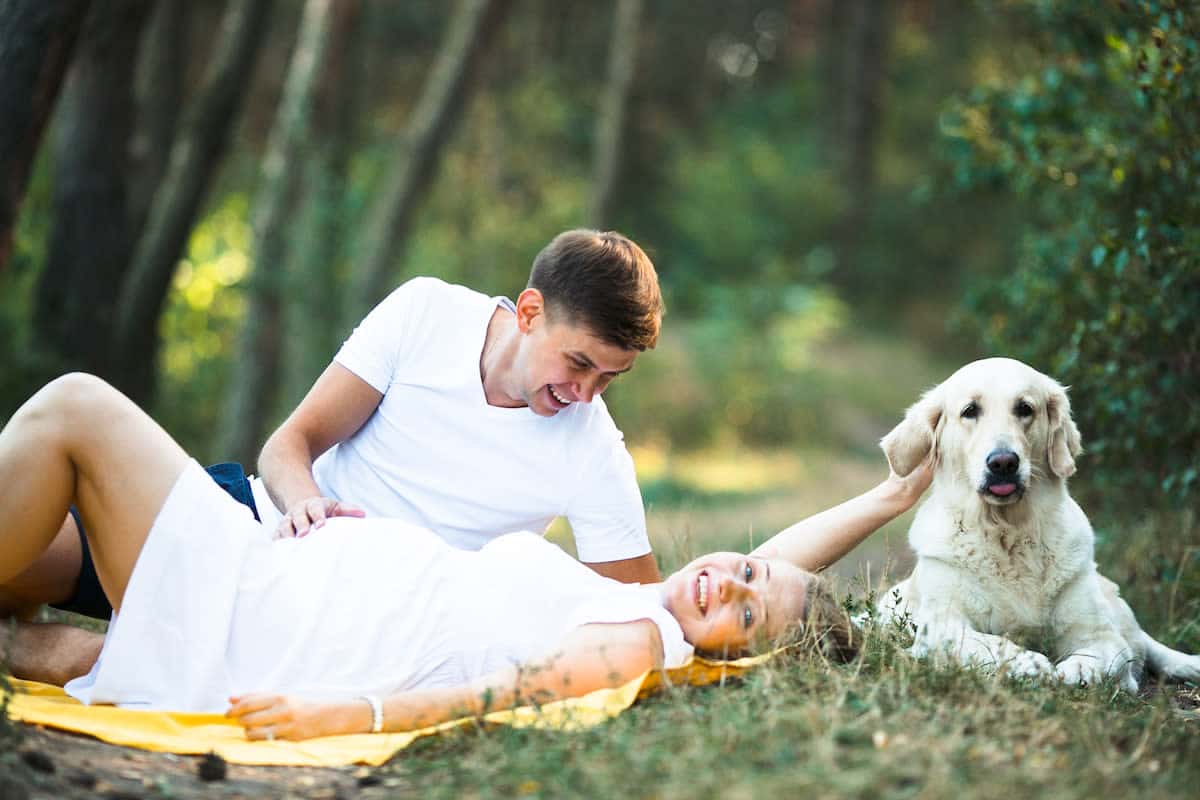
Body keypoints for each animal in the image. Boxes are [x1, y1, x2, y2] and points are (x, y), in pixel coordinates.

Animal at [878, 357, 1195, 690]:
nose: (1003, 462)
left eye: (1024, 408)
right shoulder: (941, 626)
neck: (1008, 532)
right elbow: (985, 643)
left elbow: (1103, 657)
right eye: (970, 411)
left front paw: (1077, 670)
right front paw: (1026, 662)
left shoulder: (1102, 635)